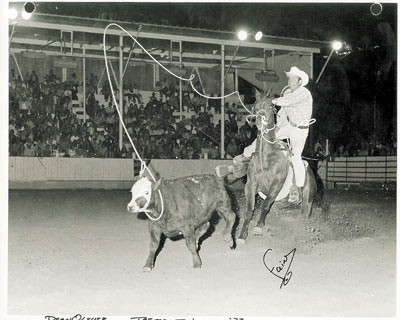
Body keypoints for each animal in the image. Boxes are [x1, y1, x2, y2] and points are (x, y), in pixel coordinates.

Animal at [236, 91, 318, 244]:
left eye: (270, 106)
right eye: (255, 105)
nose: (259, 120)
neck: (265, 156)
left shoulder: (276, 185)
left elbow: (265, 204)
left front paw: (258, 227)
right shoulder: (251, 185)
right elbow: (249, 210)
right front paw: (242, 236)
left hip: (308, 202)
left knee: (305, 213)